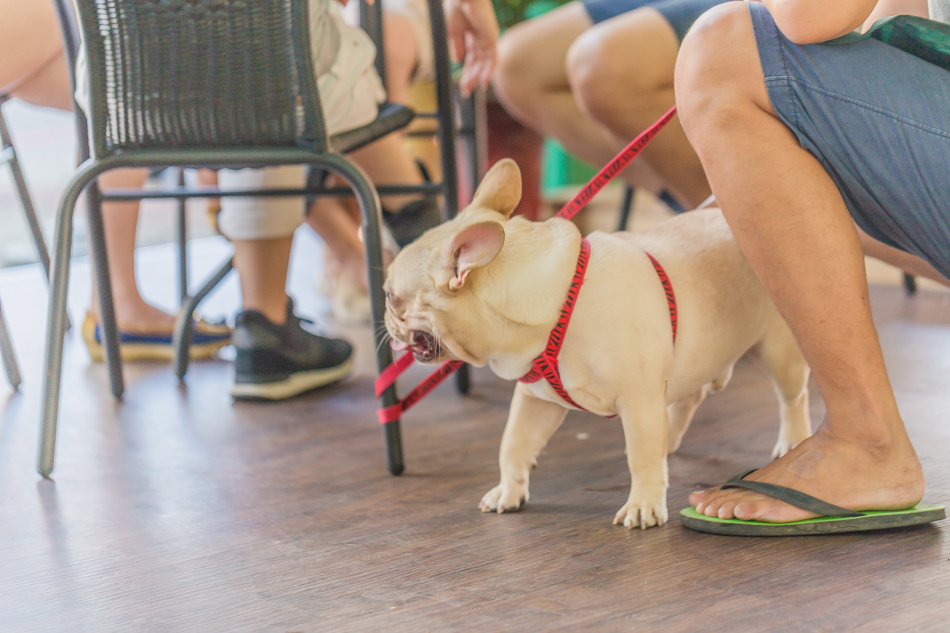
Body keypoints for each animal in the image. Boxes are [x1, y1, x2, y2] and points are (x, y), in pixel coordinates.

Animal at [384, 159, 816, 528]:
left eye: (390, 295)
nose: (385, 319)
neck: (556, 303)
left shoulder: (638, 400)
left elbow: (639, 456)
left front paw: (643, 504)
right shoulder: (536, 400)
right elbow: (514, 444)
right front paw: (508, 490)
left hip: (777, 350)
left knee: (792, 398)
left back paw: (793, 440)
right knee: (690, 395)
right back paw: (671, 439)